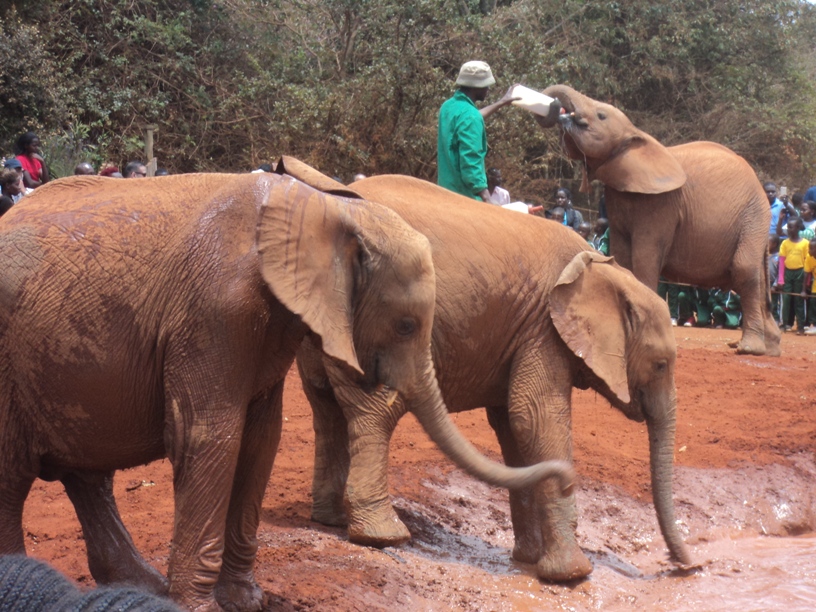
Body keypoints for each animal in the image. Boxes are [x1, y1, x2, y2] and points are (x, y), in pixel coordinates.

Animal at [0, 173, 572, 612]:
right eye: (408, 325)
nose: (566, 476)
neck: (323, 206)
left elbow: (260, 441)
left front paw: (246, 600)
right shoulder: (213, 312)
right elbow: (209, 438)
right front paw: (200, 606)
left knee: (85, 476)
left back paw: (142, 586)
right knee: (14, 477)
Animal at [284, 166, 692, 584]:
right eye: (661, 364)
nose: (684, 566)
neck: (605, 268)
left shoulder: (524, 331)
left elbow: (513, 426)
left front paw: (528, 559)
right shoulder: (544, 329)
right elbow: (534, 418)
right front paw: (571, 575)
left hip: (325, 312)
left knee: (326, 408)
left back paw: (330, 521)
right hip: (372, 321)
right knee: (377, 410)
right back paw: (383, 537)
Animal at [540, 83, 780, 356]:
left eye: (601, 116)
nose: (556, 110)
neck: (637, 134)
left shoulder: (661, 205)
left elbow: (645, 257)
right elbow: (622, 256)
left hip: (754, 216)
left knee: (744, 270)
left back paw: (749, 349)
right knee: (754, 279)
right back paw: (767, 349)